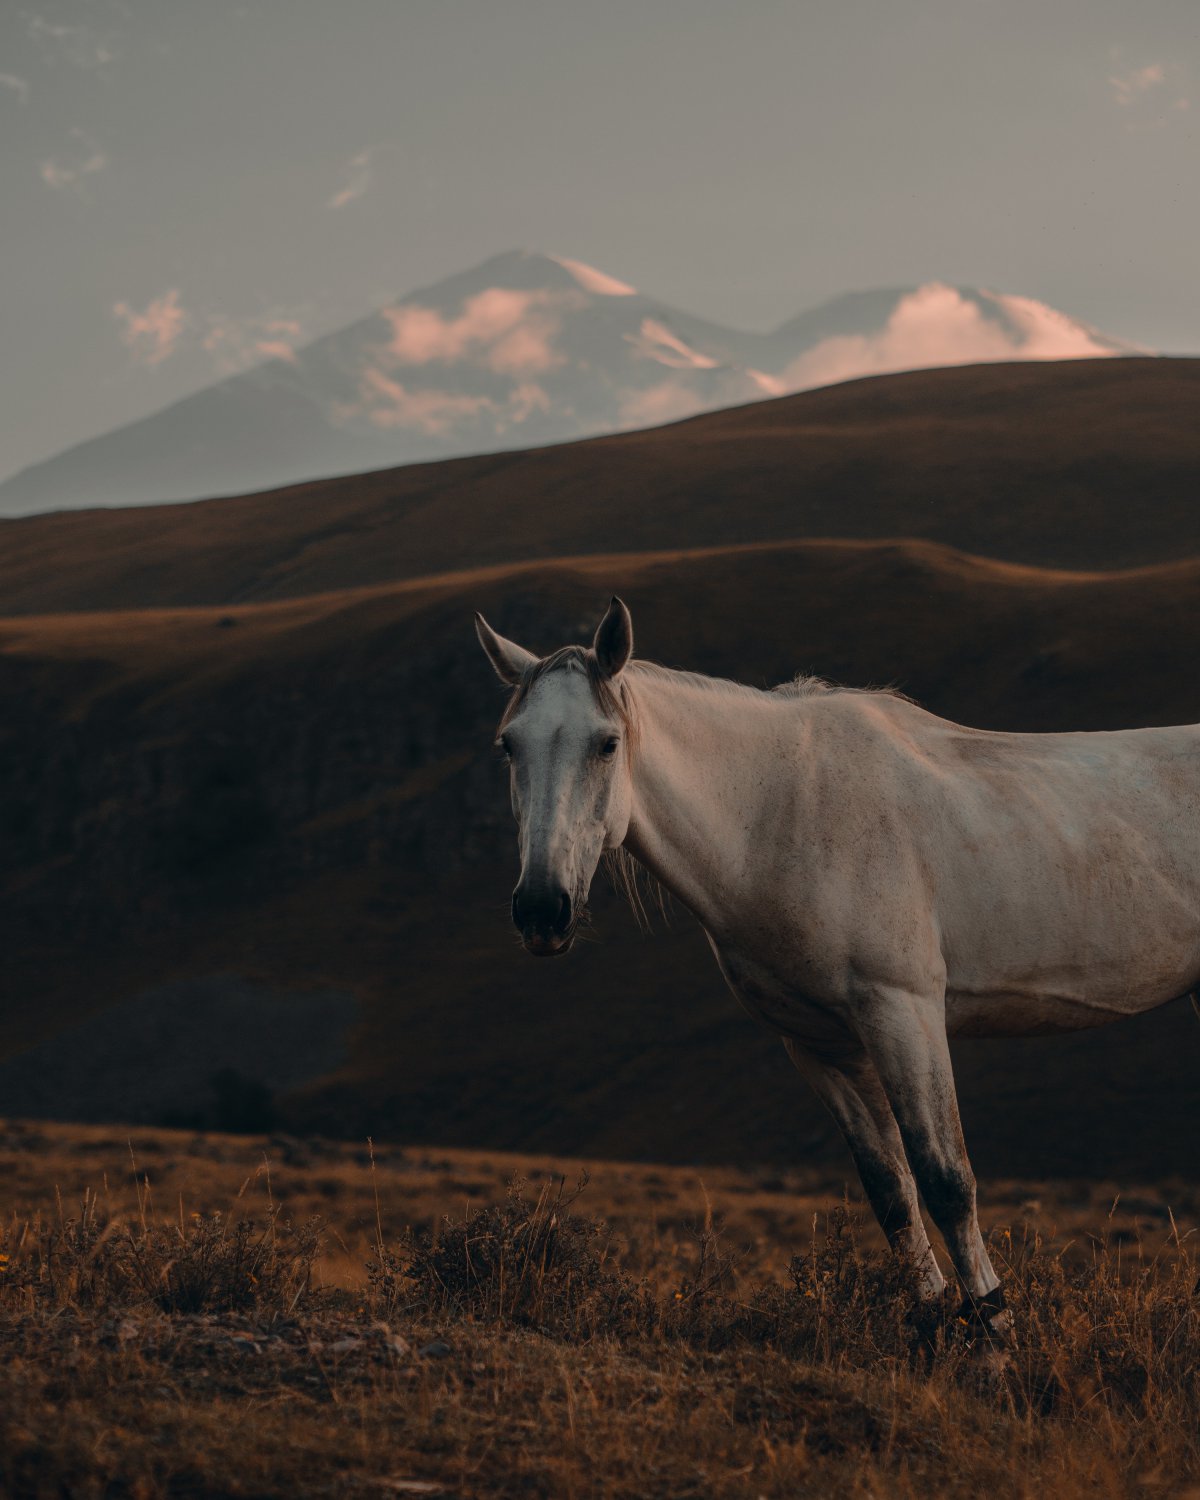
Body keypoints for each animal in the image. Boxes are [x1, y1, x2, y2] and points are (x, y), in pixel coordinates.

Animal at [474, 597, 1194, 1338]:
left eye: (606, 743)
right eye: (509, 745)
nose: (542, 909)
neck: (781, 812)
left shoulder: (904, 1013)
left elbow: (946, 1180)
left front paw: (995, 1338)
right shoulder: (819, 1044)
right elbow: (891, 1192)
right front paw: (934, 1329)